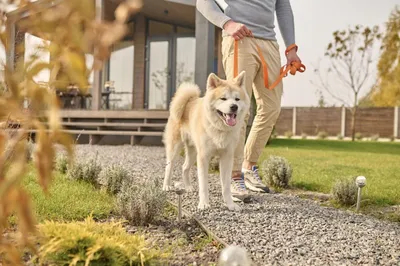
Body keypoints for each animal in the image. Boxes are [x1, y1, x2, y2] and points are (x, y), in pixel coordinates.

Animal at [162, 71, 250, 212]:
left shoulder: (227, 157)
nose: (234, 107)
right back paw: (166, 185)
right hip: (175, 149)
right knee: (169, 167)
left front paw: (230, 204)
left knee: (184, 167)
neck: (220, 128)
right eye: (223, 99)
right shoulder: (203, 157)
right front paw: (204, 204)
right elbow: (203, 185)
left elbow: (226, 186)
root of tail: (189, 100)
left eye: (237, 99)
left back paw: (188, 187)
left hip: (193, 152)